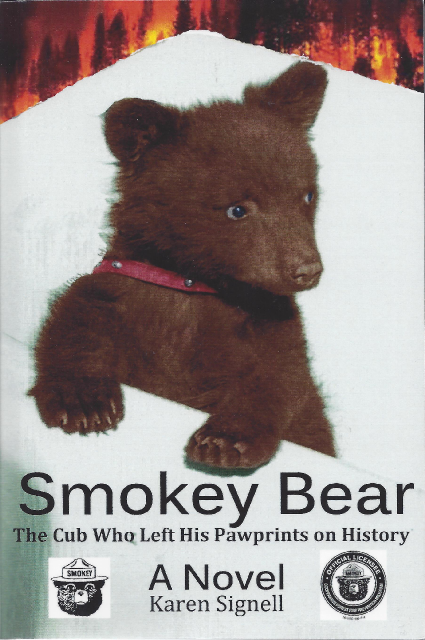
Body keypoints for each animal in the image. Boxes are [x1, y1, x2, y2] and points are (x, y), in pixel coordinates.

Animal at [30, 61, 335, 469]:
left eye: (307, 195)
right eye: (237, 209)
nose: (306, 269)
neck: (192, 281)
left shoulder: (266, 322)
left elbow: (278, 376)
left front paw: (224, 440)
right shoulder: (127, 285)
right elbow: (76, 317)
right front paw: (85, 404)